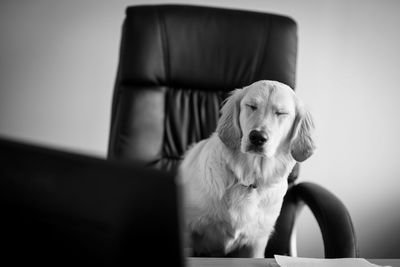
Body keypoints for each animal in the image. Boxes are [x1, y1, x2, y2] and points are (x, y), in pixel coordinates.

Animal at [179, 79, 316, 258]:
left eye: (281, 113)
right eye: (251, 106)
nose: (257, 137)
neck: (249, 178)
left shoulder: (256, 241)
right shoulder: (187, 229)